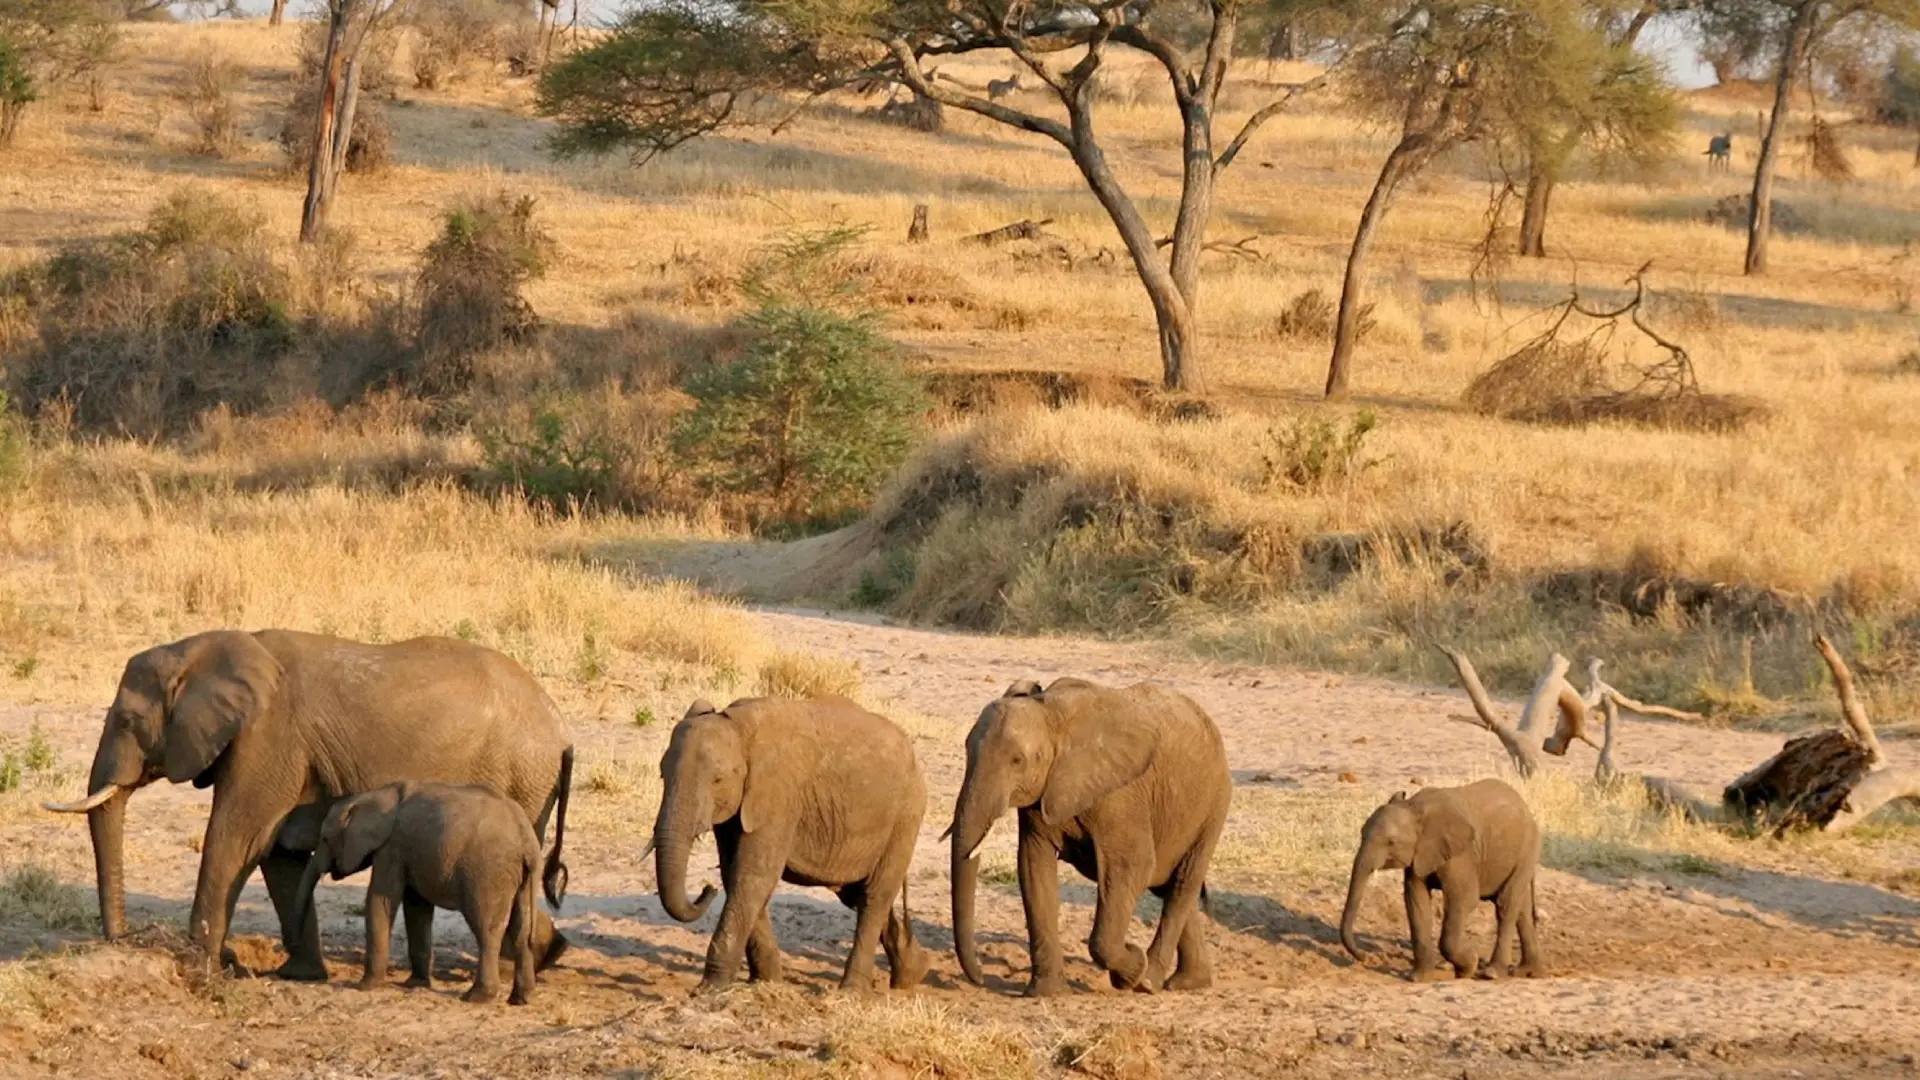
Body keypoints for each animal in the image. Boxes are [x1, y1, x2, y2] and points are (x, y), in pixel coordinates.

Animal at [42, 630, 574, 980]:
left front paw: (196, 965)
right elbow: (278, 853)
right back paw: (548, 953)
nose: (125, 939)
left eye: (127, 721)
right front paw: (298, 973)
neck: (201, 650)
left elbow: (237, 839)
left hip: (521, 777)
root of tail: (559, 725)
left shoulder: (268, 737)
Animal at [294, 781, 544, 1005]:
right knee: (520, 931)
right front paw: (414, 984)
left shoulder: (392, 848)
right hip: (520, 876)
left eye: (325, 839)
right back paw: (521, 999)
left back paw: (477, 998)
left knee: (486, 931)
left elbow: (380, 900)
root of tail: (527, 840)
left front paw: (363, 987)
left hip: (487, 873)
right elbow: (417, 908)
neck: (372, 796)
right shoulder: (409, 853)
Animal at [649, 695, 928, 993]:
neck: (739, 728)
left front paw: (710, 989)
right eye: (662, 775)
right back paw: (913, 973)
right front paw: (767, 982)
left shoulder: (779, 797)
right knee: (857, 893)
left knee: (875, 897)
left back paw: (852, 992)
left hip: (905, 816)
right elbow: (734, 874)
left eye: (718, 780)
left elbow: (753, 876)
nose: (705, 889)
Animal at [948, 678, 1231, 997]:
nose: (980, 979)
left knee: (1183, 883)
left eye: (1017, 760)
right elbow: (1034, 869)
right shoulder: (1043, 795)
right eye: (967, 750)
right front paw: (1045, 994)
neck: (1049, 713)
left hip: (1213, 805)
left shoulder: (1120, 795)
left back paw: (1148, 980)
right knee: (1169, 885)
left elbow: (1132, 866)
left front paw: (1131, 970)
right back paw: (1188, 982)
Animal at [1340, 778, 1544, 981]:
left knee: (1506, 905)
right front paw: (1418, 977)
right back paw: (1526, 972)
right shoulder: (1420, 853)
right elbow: (1416, 901)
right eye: (1361, 834)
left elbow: (1464, 899)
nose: (1366, 957)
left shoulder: (1461, 854)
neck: (1413, 806)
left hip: (1526, 850)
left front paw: (1468, 966)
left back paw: (1493, 973)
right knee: (1522, 910)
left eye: (1391, 843)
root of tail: (1525, 807)